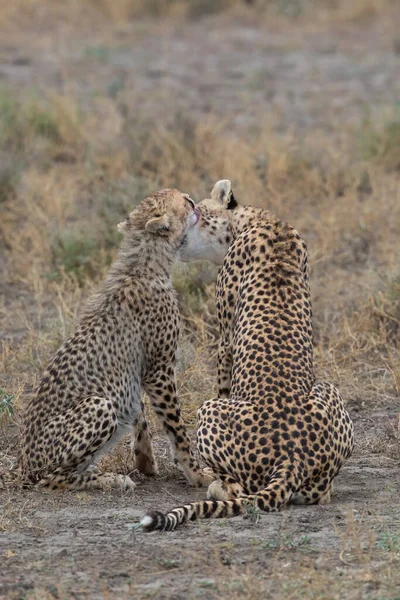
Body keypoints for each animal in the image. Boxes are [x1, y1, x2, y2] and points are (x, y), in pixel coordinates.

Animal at [2, 189, 212, 492]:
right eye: (183, 202)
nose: (193, 199)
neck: (143, 265)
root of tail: (21, 464)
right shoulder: (159, 370)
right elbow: (176, 427)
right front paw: (197, 474)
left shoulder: (136, 372)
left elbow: (139, 412)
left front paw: (146, 461)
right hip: (98, 405)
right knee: (51, 479)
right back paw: (110, 479)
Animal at [140, 180, 354, 532]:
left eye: (195, 209)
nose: (175, 231)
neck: (259, 220)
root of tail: (291, 457)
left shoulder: (226, 342)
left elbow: (223, 382)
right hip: (330, 394)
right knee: (321, 493)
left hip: (208, 412)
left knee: (238, 489)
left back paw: (216, 484)